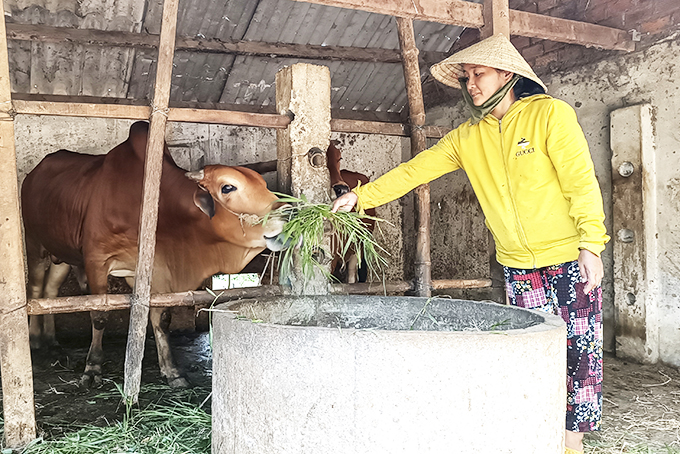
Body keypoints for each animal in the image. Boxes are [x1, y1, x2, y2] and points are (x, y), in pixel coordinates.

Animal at [22, 122, 288, 388]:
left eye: (263, 184)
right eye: (228, 187)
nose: (288, 213)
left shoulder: (158, 270)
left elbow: (161, 318)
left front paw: (172, 370)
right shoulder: (97, 261)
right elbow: (99, 315)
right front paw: (92, 368)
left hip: (63, 256)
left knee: (50, 291)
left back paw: (53, 343)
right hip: (35, 246)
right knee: (35, 290)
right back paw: (34, 341)